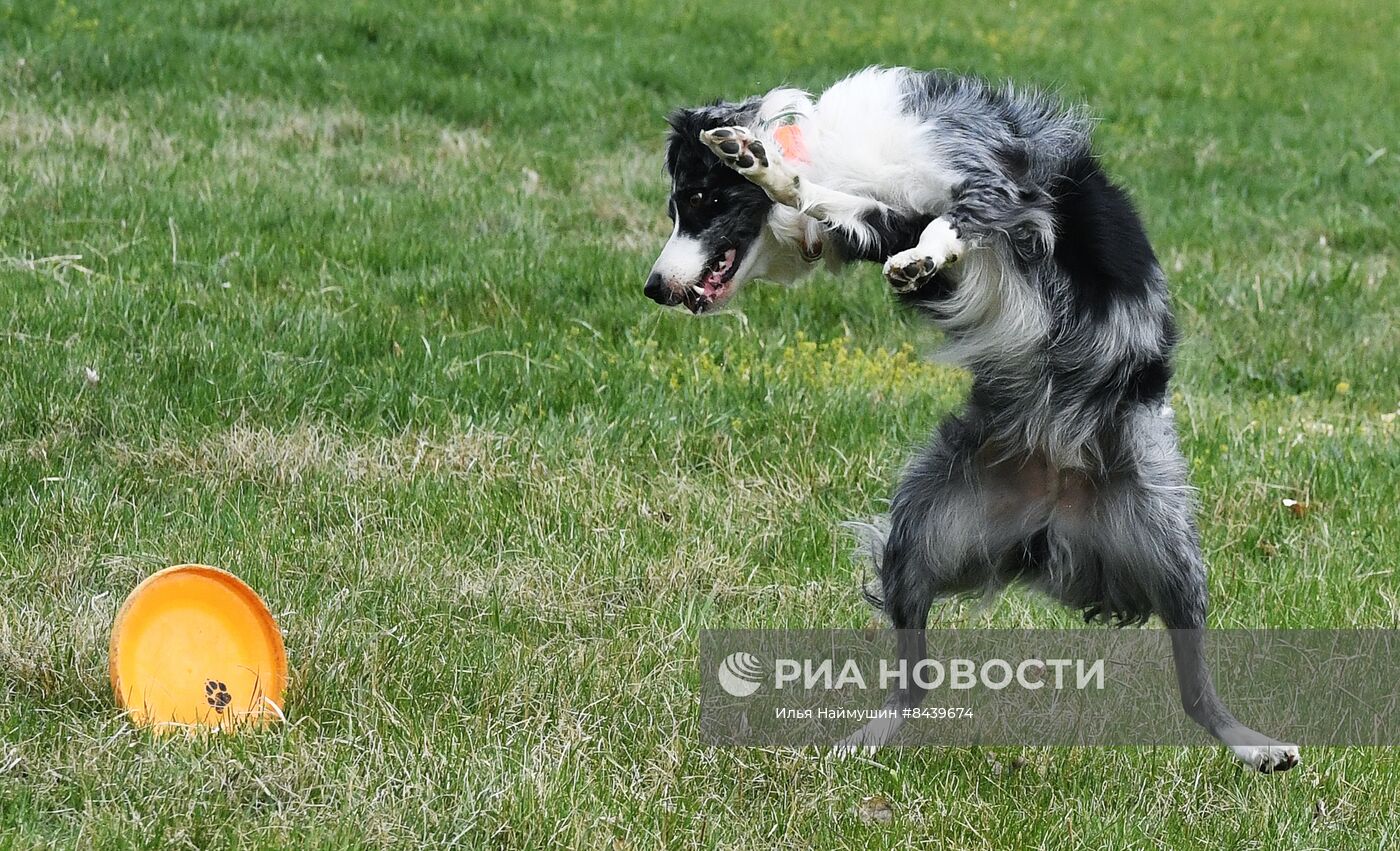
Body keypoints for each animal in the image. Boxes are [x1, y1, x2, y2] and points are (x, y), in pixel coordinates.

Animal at [644, 66, 1299, 772]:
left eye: (701, 198)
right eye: (679, 206)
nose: (653, 288)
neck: (832, 149)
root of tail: (1051, 519)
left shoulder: (1000, 179)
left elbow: (951, 217)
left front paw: (760, 163)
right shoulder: (882, 222)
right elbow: (831, 200)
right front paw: (772, 171)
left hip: (1172, 547)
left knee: (1196, 689)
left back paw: (1258, 747)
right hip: (919, 529)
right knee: (915, 680)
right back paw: (860, 743)